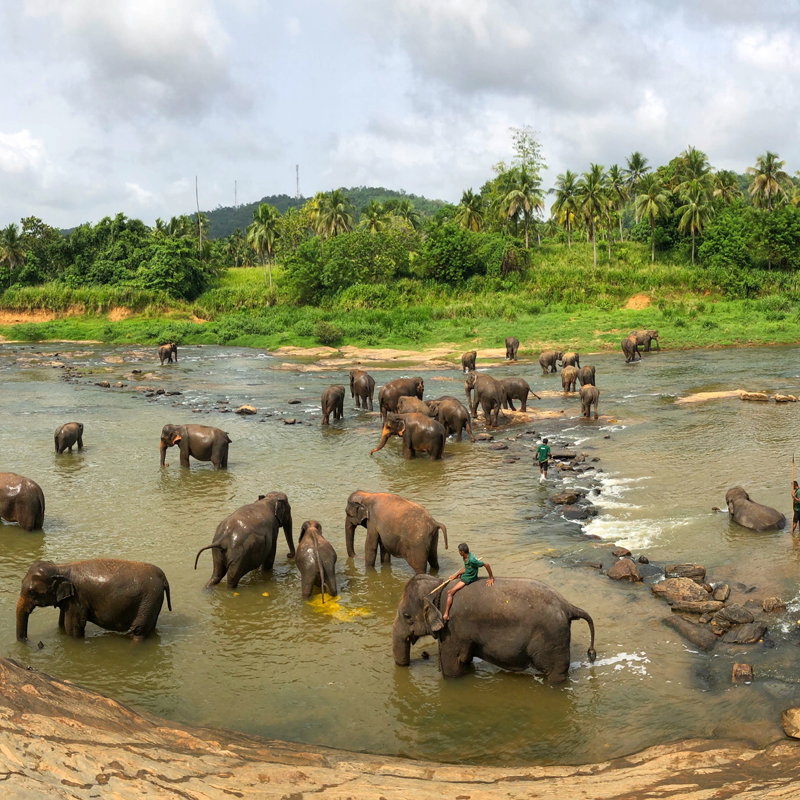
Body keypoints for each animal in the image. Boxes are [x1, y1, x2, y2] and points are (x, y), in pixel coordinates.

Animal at [17, 560, 171, 648]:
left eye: (32, 592)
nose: (39, 643)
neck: (60, 567)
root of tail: (162, 576)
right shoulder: (69, 600)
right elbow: (62, 623)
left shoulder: (77, 599)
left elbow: (73, 628)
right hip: (153, 602)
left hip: (149, 600)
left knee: (139, 631)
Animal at [390, 572, 596, 684]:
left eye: (407, 616)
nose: (421, 657)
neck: (438, 585)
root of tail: (568, 606)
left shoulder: (453, 629)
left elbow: (452, 664)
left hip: (553, 639)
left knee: (555, 673)